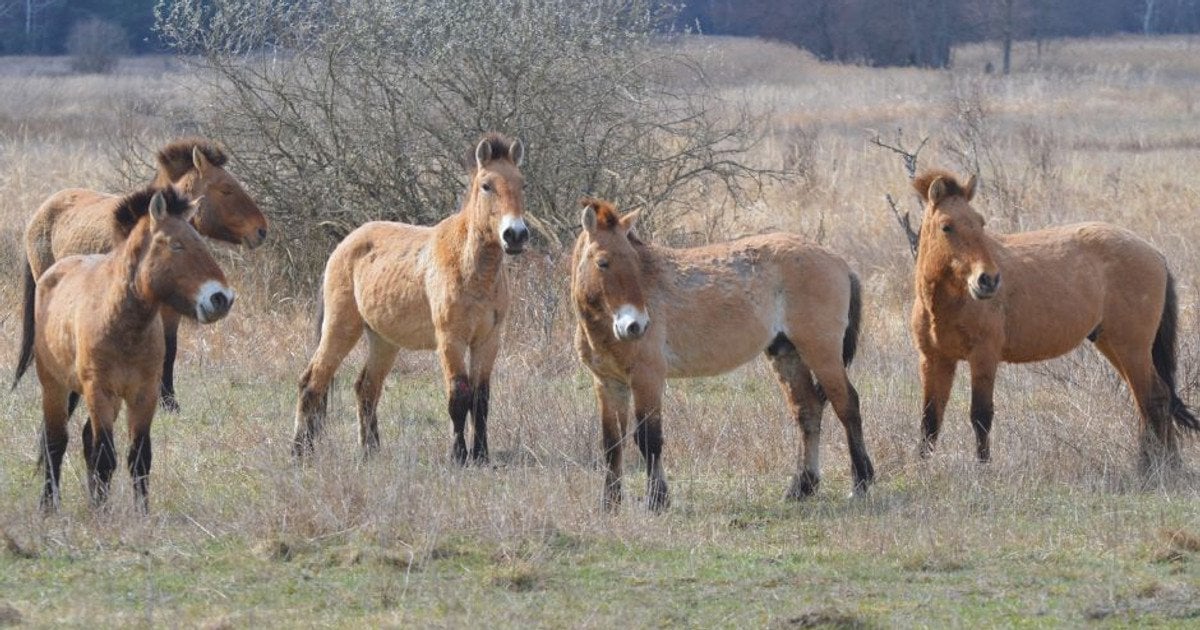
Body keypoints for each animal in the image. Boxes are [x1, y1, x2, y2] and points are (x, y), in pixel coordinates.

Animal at [13, 186, 235, 512]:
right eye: (176, 245)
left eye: (201, 243)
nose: (221, 298)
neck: (123, 324)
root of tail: (52, 272)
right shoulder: (99, 391)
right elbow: (105, 457)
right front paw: (103, 516)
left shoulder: (143, 394)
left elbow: (139, 458)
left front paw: (140, 513)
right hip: (56, 387)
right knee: (55, 442)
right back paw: (49, 506)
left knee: (84, 439)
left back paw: (93, 501)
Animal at [18, 137, 266, 412]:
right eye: (226, 189)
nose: (261, 230)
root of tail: (41, 211)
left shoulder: (170, 311)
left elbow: (170, 350)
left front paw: (169, 401)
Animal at [292, 133, 528, 463]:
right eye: (486, 185)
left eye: (522, 183)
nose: (515, 235)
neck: (471, 268)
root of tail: (343, 245)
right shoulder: (450, 340)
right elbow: (459, 396)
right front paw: (458, 456)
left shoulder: (488, 340)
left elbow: (481, 400)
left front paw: (481, 455)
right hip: (340, 328)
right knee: (312, 382)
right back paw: (300, 451)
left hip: (383, 341)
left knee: (366, 388)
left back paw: (370, 451)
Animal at [570, 198, 874, 512]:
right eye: (602, 262)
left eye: (634, 261)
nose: (635, 326)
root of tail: (840, 263)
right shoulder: (608, 383)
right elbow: (611, 443)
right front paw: (609, 504)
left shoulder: (648, 378)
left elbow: (648, 439)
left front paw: (657, 501)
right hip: (787, 354)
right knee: (808, 411)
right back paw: (801, 488)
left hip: (821, 352)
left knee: (847, 406)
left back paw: (860, 485)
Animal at [909, 169, 1199, 472]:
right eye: (947, 226)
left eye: (980, 222)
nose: (988, 280)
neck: (946, 303)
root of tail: (1155, 253)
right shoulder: (934, 360)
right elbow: (930, 420)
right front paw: (921, 470)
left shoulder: (984, 357)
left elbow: (980, 416)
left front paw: (983, 470)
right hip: (1115, 345)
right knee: (1152, 398)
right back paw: (1164, 466)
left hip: (1132, 348)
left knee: (1153, 398)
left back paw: (1151, 468)